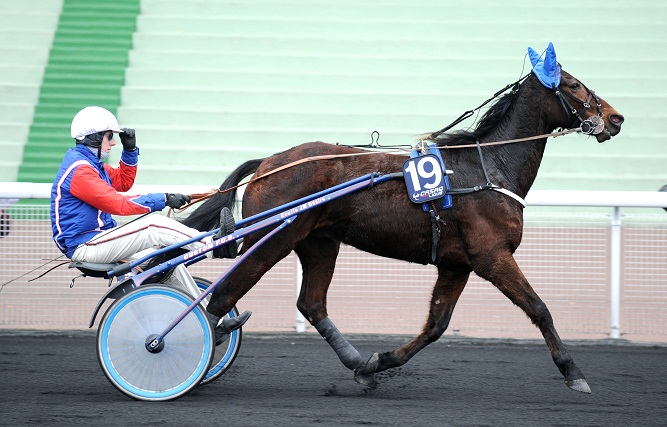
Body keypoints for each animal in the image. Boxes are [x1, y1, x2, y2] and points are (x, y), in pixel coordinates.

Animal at [181, 47, 620, 394]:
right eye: (575, 85)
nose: (616, 119)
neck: (488, 168)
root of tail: (268, 163)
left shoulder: (457, 263)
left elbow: (436, 325)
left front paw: (377, 363)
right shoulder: (492, 256)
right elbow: (539, 308)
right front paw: (574, 373)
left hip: (318, 241)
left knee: (312, 303)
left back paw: (356, 362)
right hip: (274, 237)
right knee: (224, 295)